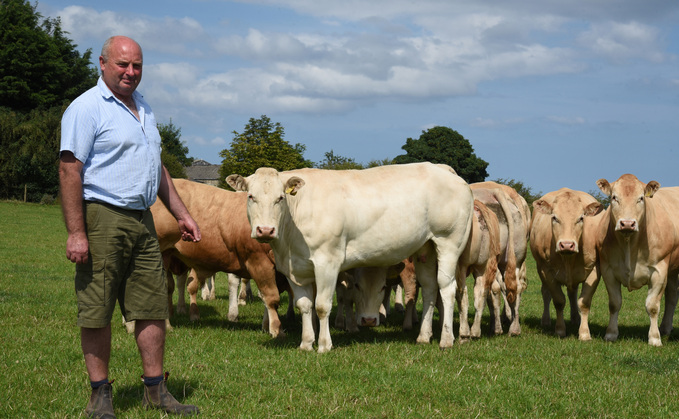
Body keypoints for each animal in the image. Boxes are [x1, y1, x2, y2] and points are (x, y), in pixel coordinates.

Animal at [153, 179, 294, 340]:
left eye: (281, 198)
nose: (265, 230)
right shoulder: (259, 260)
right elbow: (271, 297)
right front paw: (277, 330)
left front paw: (267, 325)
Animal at [228, 162, 472, 352]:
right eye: (251, 196)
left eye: (280, 198)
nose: (265, 230)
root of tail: (442, 168)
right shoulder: (294, 269)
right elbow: (304, 305)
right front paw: (306, 343)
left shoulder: (327, 262)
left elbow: (322, 306)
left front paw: (324, 345)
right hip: (426, 248)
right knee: (430, 288)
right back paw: (423, 336)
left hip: (449, 243)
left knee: (447, 289)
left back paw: (446, 339)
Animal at [470, 182, 528, 336]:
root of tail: (495, 192)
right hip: (514, 258)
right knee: (515, 287)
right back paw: (513, 327)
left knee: (493, 288)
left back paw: (494, 327)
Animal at [532, 189, 604, 340]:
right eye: (554, 217)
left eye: (581, 218)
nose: (566, 245)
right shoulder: (546, 271)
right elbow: (559, 301)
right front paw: (560, 330)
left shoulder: (595, 269)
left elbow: (584, 302)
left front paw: (584, 333)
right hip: (540, 269)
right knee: (546, 293)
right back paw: (546, 320)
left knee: (572, 294)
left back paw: (575, 318)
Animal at [596, 175, 679, 348]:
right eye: (614, 197)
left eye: (641, 198)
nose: (627, 223)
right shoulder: (608, 270)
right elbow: (614, 303)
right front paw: (611, 334)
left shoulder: (659, 270)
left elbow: (652, 306)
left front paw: (654, 338)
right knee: (672, 296)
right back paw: (665, 328)